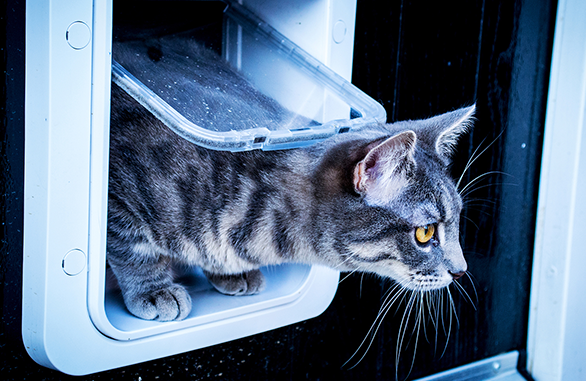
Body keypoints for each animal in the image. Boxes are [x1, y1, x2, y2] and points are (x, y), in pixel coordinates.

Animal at [106, 37, 470, 320]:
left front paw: (231, 272)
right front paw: (153, 289)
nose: (462, 271)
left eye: (457, 221)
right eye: (424, 233)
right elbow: (132, 247)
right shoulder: (116, 196)